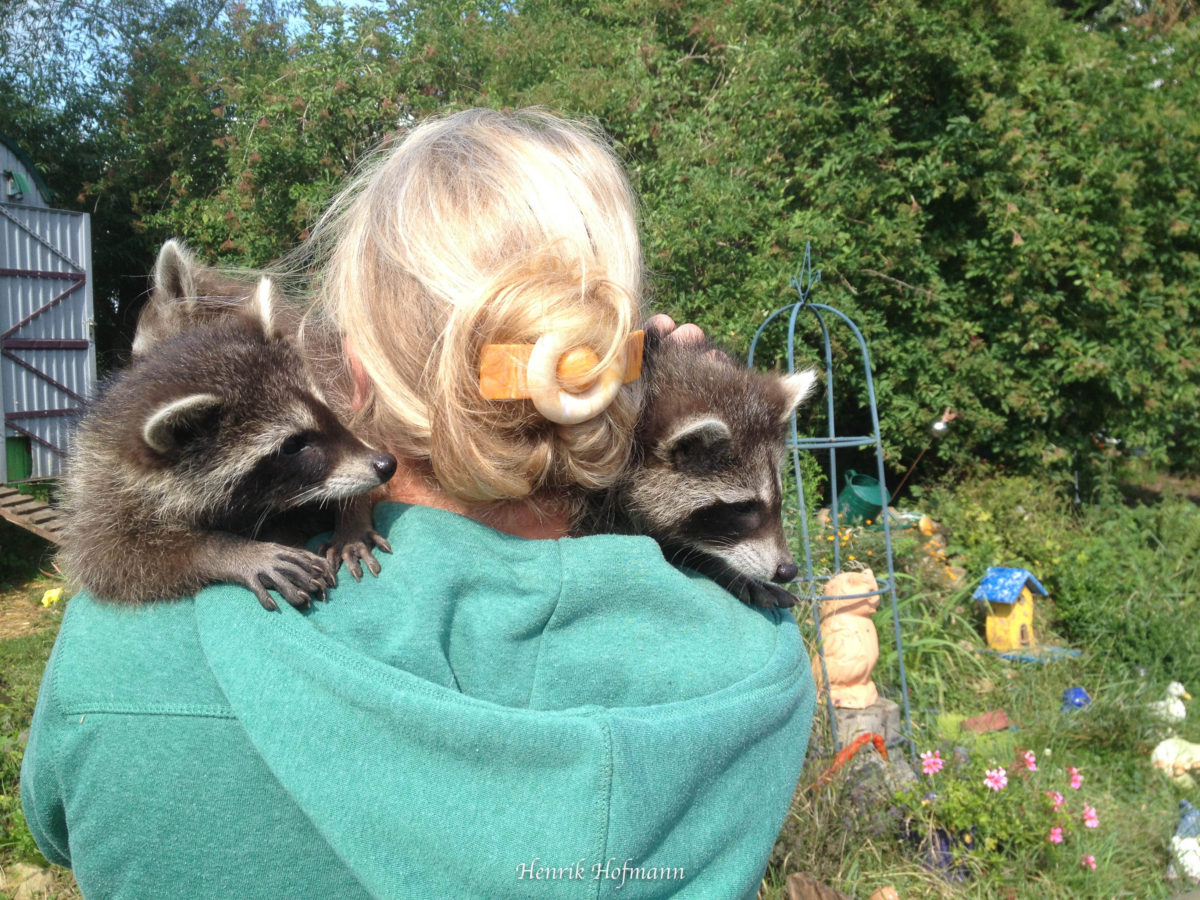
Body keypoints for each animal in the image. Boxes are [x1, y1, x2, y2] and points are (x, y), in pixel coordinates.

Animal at [58, 282, 396, 614]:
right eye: (293, 444)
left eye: (326, 410)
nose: (385, 463)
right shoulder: (103, 491)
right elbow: (109, 561)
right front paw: (228, 550)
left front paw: (350, 516)